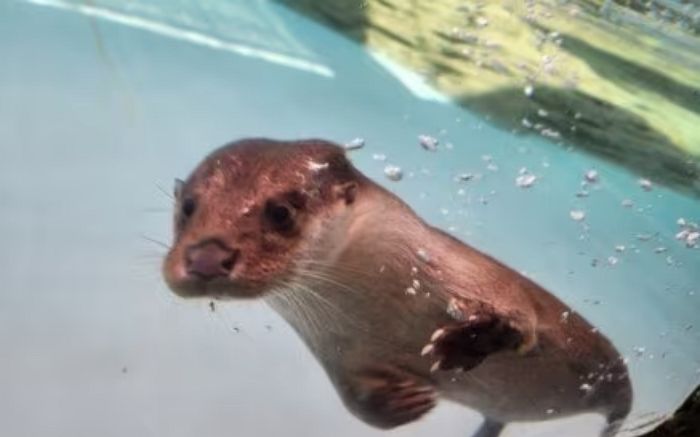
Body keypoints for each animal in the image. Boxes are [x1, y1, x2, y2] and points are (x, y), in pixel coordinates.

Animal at [163, 138, 636, 434]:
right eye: (188, 207)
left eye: (281, 212)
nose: (205, 258)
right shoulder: (338, 353)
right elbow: (358, 404)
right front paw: (410, 401)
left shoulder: (478, 277)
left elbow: (523, 323)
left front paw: (465, 343)